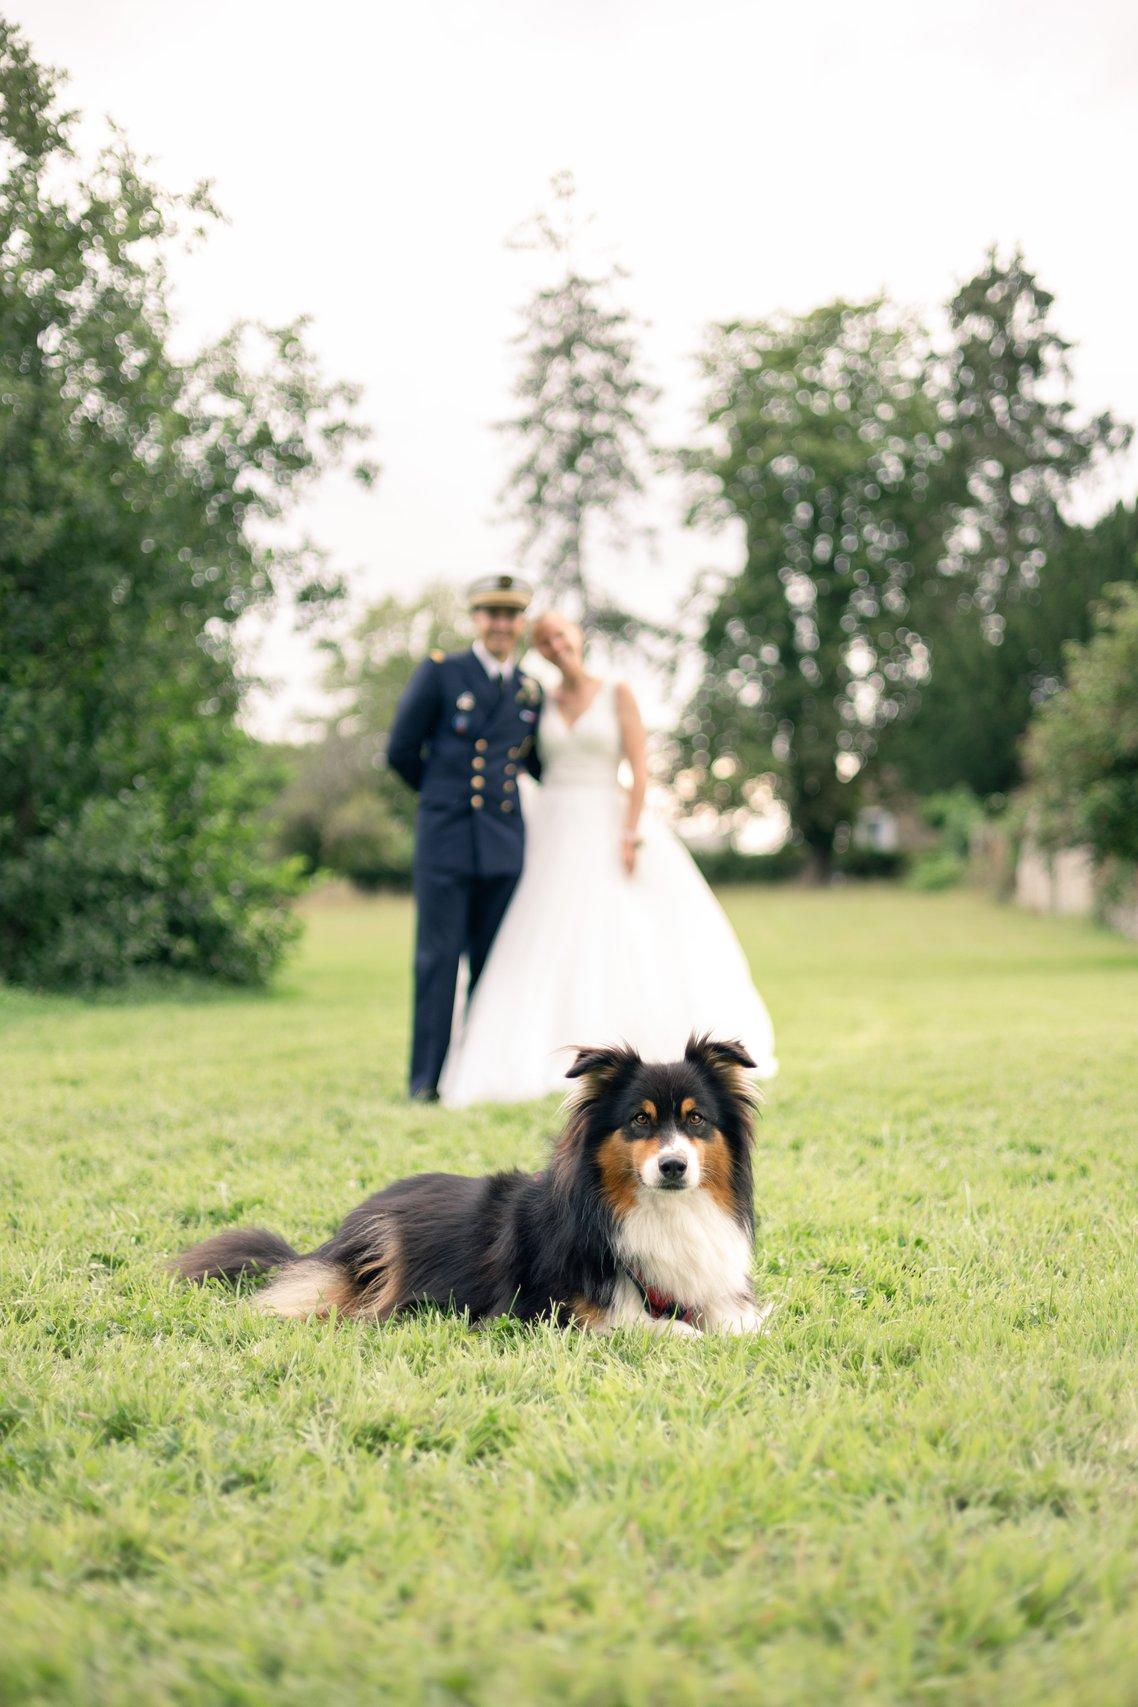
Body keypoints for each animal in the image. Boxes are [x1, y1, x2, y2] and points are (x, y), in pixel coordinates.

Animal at [171, 1031, 774, 1338]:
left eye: (696, 1120)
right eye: (640, 1121)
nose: (673, 1167)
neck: (653, 1209)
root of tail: (327, 1241)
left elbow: (738, 1324)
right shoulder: (561, 1310)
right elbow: (665, 1329)